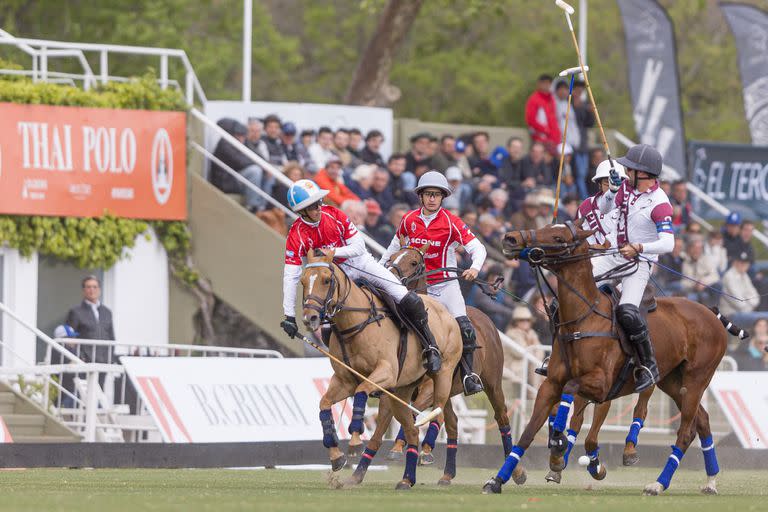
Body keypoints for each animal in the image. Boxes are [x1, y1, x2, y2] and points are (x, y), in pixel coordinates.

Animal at [300, 250, 462, 490]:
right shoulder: (345, 380)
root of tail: (448, 313)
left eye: (326, 280)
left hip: (442, 376)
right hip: (401, 392)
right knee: (413, 430)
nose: (309, 318)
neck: (355, 324)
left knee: (438, 414)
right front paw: (336, 455)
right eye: (302, 281)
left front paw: (355, 440)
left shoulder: (385, 372)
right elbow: (324, 404)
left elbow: (361, 392)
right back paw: (407, 479)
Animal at [344, 244, 524, 488]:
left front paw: (402, 447)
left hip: (491, 383)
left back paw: (516, 472)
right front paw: (358, 473)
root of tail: (485, 319)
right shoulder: (391, 390)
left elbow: (415, 414)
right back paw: (447, 473)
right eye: (391, 258)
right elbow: (379, 431)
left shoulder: (428, 389)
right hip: (449, 391)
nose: (389, 278)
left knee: (502, 418)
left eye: (413, 262)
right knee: (453, 422)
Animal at [480, 221, 736, 496]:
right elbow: (528, 434)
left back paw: (658, 483)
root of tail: (709, 311)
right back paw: (710, 481)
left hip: (697, 378)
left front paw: (559, 446)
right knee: (703, 421)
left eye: (558, 236)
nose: (511, 238)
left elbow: (572, 394)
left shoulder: (601, 385)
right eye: (546, 226)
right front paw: (498, 480)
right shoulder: (550, 384)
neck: (583, 319)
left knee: (686, 432)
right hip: (673, 382)